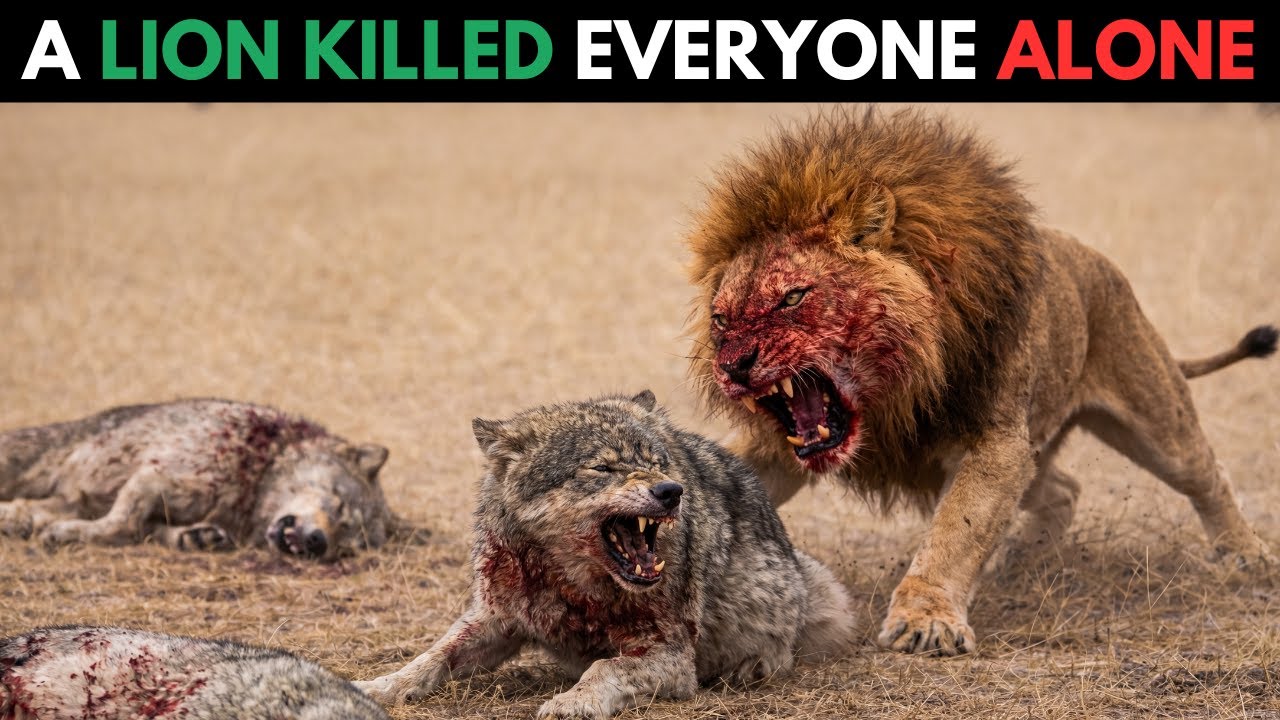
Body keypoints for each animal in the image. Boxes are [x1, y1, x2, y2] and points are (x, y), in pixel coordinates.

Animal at [685, 108, 1277, 656]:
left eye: (793, 297)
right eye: (720, 320)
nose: (733, 365)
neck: (895, 396)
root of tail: (1098, 261)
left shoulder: (995, 442)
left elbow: (956, 530)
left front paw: (926, 620)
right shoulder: (783, 448)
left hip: (1151, 413)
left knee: (1205, 472)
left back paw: (1246, 554)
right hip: (1036, 446)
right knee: (1065, 488)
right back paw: (1025, 557)